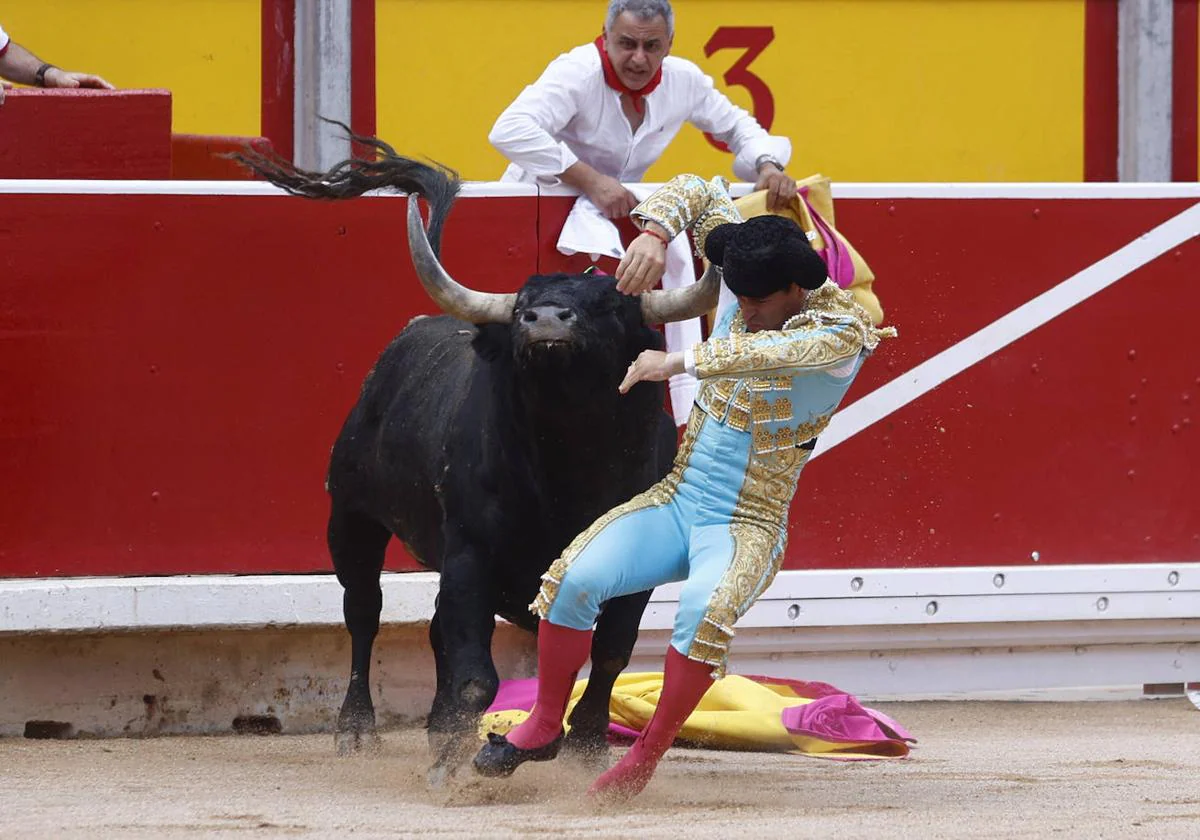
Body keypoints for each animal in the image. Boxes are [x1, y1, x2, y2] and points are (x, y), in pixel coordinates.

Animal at [238, 136, 715, 782]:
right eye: (522, 307)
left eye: (607, 306)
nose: (544, 321)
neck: (568, 466)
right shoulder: (469, 555)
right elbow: (473, 675)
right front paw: (453, 757)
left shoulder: (633, 566)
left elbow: (611, 654)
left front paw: (585, 748)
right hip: (351, 519)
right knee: (364, 613)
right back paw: (358, 730)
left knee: (436, 629)